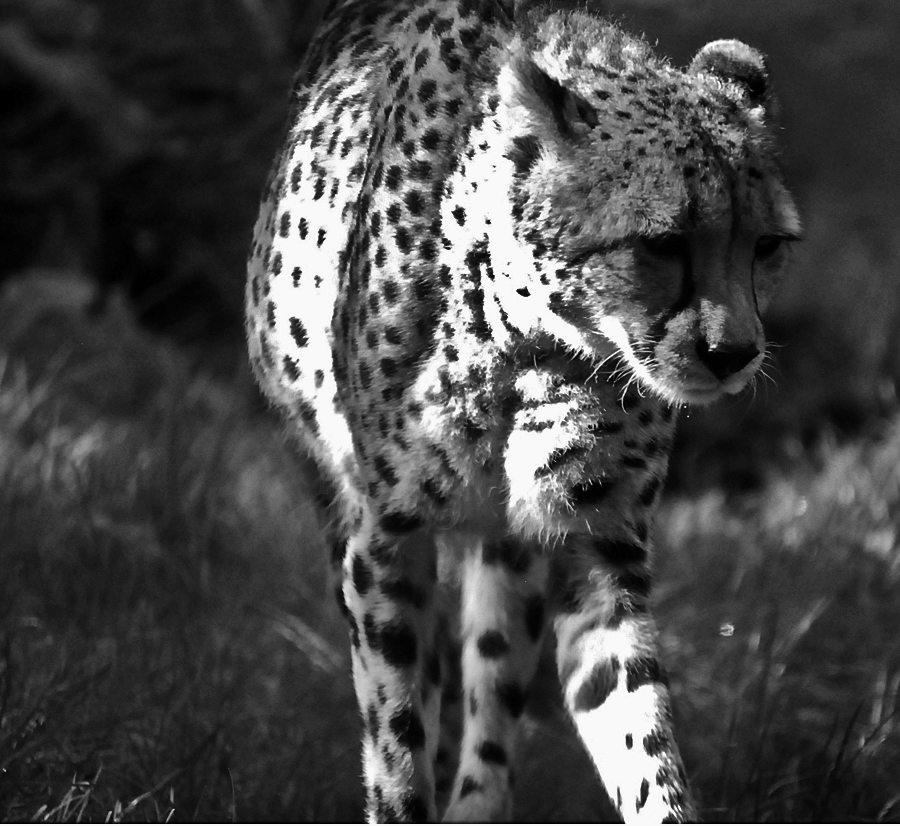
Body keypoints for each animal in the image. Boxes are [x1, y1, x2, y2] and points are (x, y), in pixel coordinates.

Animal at [244, 0, 801, 821]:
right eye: (662, 243)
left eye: (765, 246)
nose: (733, 352)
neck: (533, 341)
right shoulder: (385, 537)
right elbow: (397, 735)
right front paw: (404, 788)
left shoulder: (593, 541)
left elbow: (639, 733)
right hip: (331, 488)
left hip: (510, 552)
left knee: (492, 685)